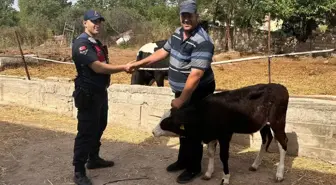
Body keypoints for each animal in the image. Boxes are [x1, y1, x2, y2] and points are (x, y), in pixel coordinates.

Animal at [152, 83, 288, 185]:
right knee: (266, 139)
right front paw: (208, 173)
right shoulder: (211, 134)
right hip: (263, 124)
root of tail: (280, 86)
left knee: (283, 143)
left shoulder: (225, 135)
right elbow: (211, 153)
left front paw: (225, 178)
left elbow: (223, 156)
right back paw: (255, 165)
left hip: (277, 121)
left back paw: (279, 174)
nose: (153, 131)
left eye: (166, 122)